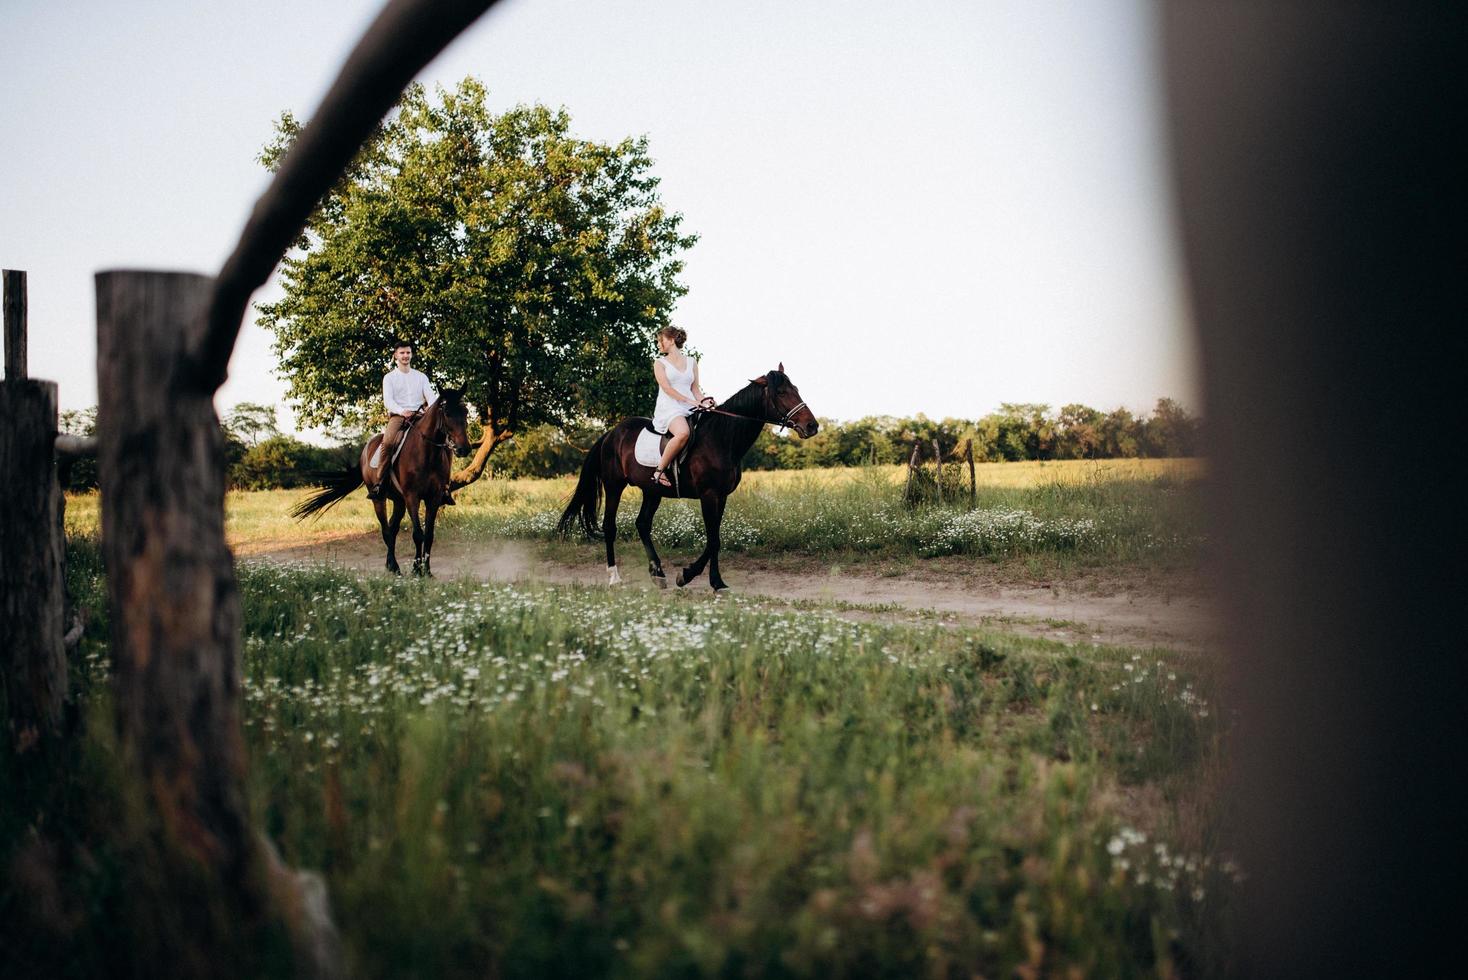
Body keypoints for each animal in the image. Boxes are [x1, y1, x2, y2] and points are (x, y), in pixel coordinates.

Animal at [286, 387, 469, 575]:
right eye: (447, 413)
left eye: (465, 411)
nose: (464, 449)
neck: (426, 454)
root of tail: (365, 450)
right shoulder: (412, 496)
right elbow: (418, 534)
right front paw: (417, 570)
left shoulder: (434, 497)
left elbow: (429, 535)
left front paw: (427, 570)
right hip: (380, 499)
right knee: (386, 530)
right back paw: (394, 567)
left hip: (398, 501)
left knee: (392, 529)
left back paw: (391, 565)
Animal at [554, 365, 822, 589]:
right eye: (782, 392)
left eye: (796, 390)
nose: (812, 426)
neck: (722, 438)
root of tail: (611, 434)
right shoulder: (709, 495)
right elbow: (713, 539)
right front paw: (704, 579)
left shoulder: (721, 496)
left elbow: (714, 537)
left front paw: (698, 577)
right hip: (614, 487)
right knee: (610, 527)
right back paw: (615, 577)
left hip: (652, 490)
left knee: (642, 524)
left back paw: (658, 573)